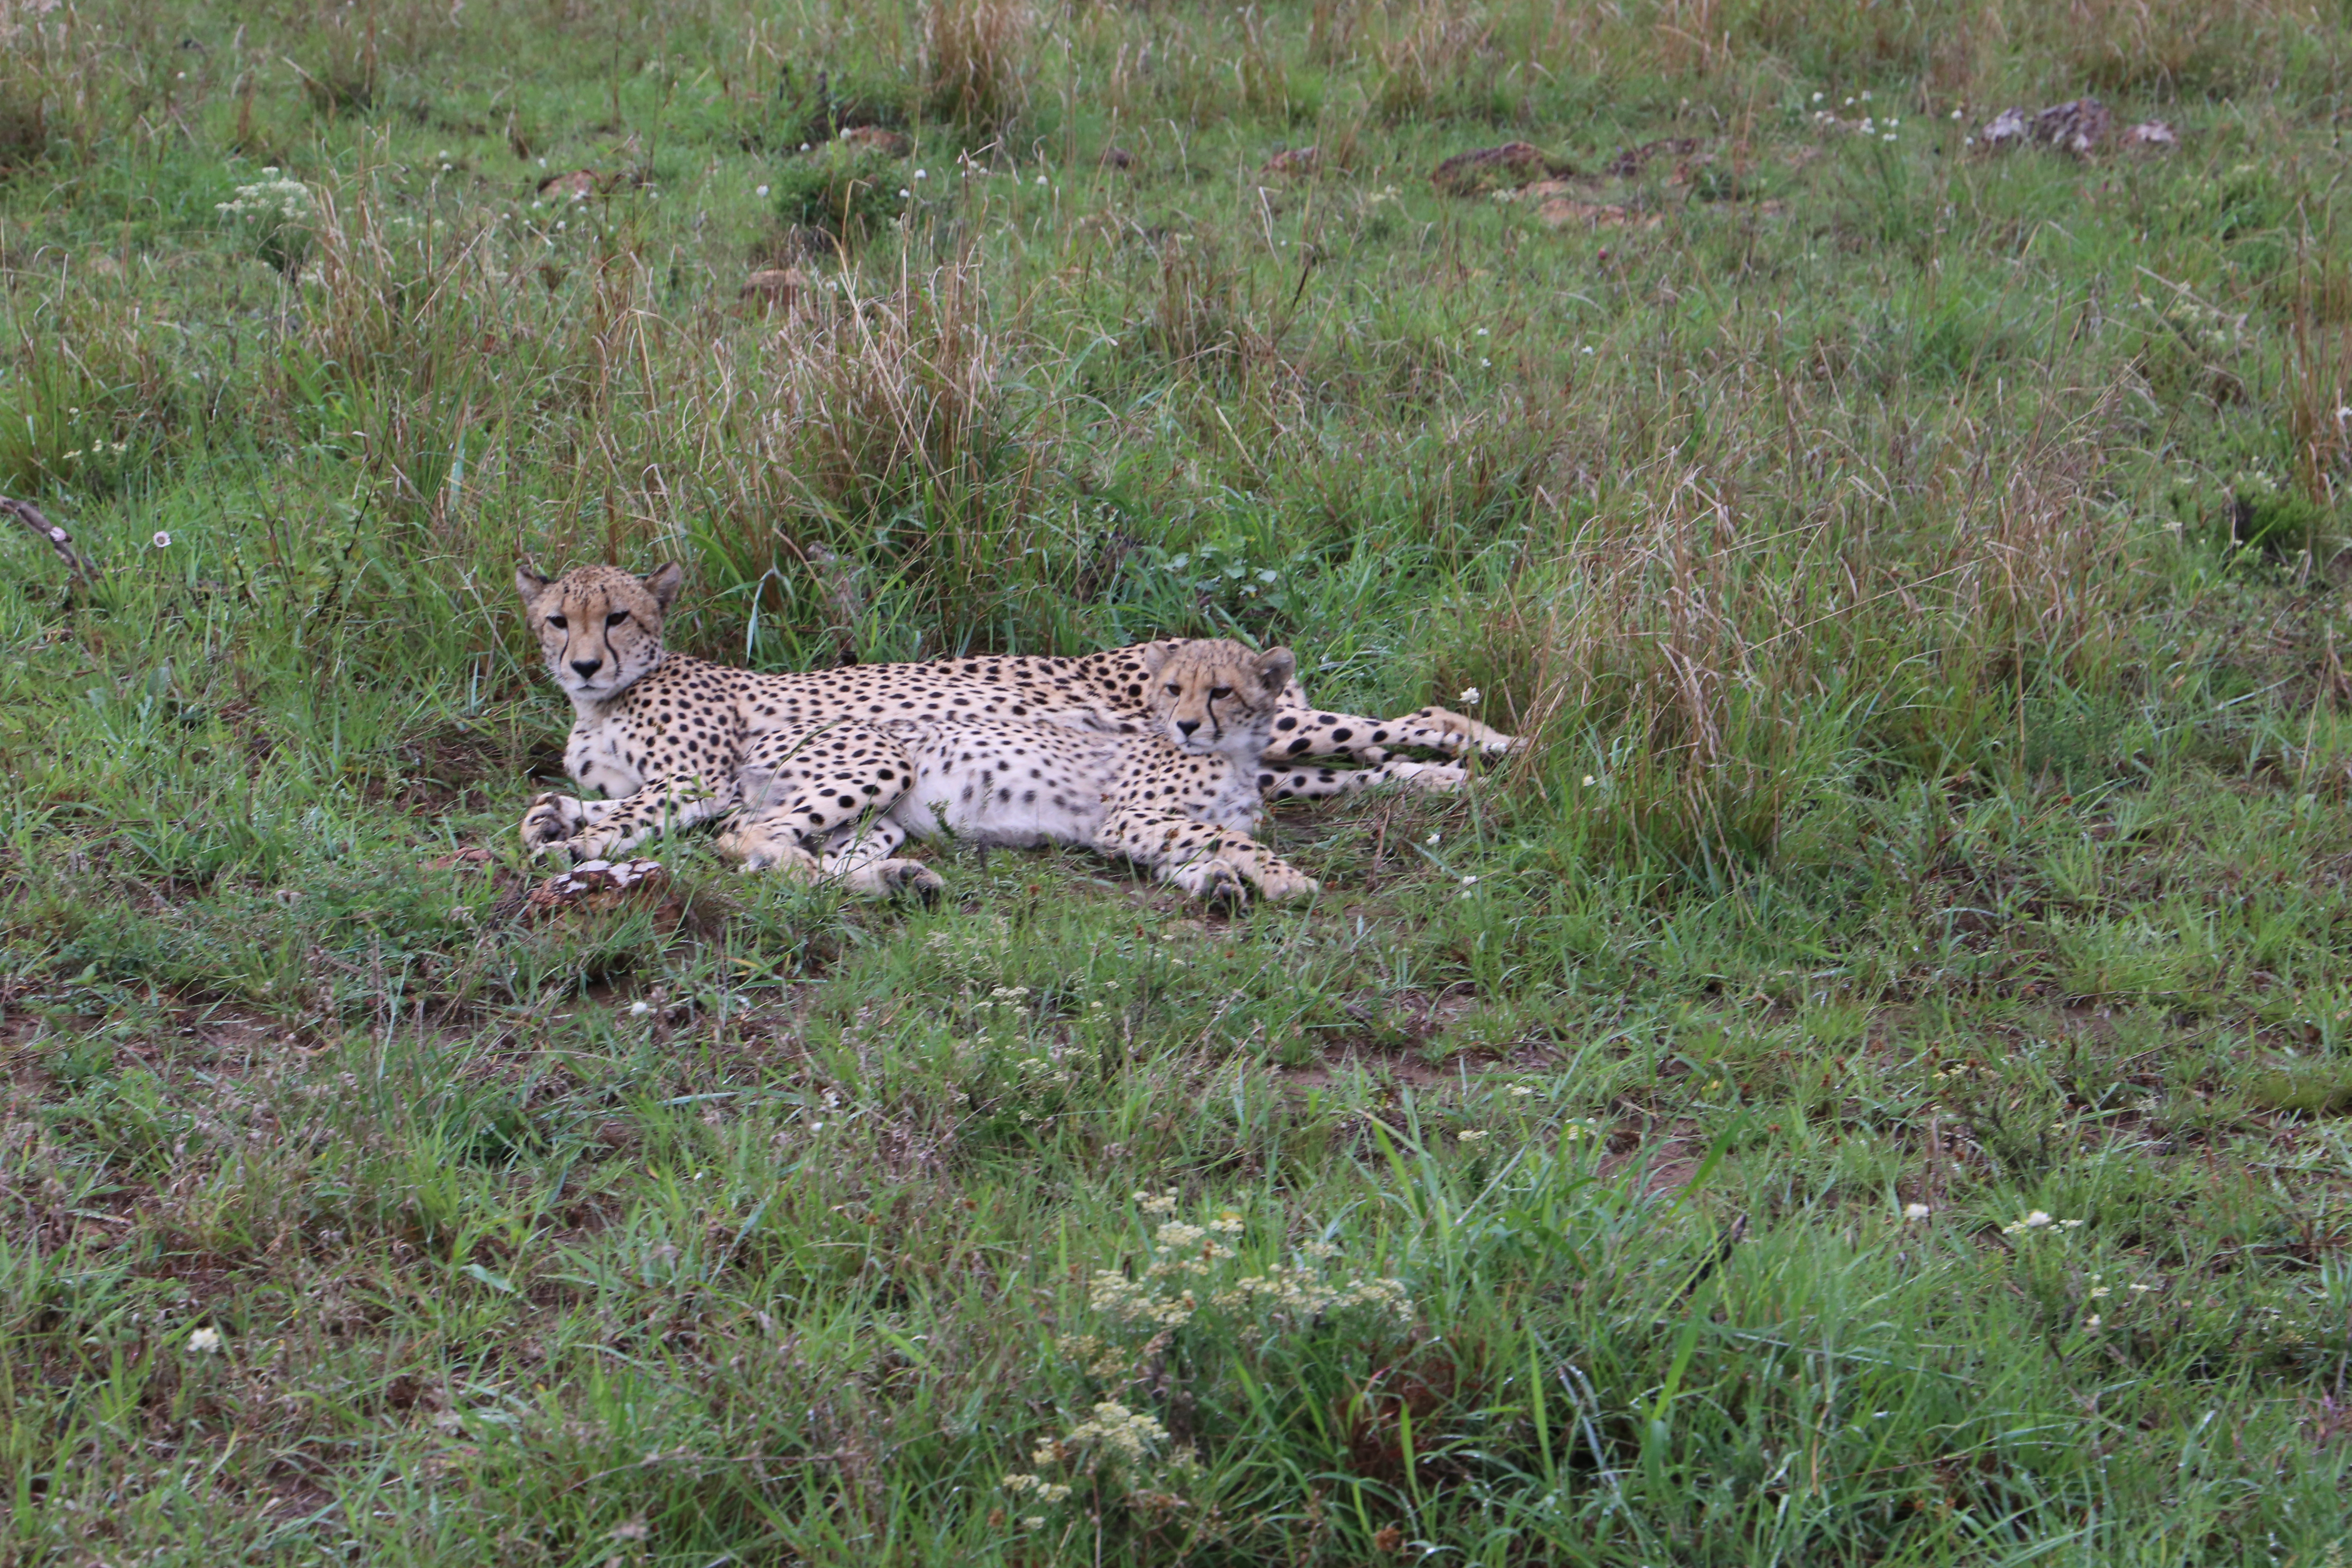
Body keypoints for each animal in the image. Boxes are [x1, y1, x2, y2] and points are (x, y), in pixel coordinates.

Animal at [513, 561, 1515, 880]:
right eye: (559, 619)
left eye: (619, 617)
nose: (584, 663)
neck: (601, 704)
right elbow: (579, 808)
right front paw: (559, 825)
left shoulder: (703, 778)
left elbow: (640, 810)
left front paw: (576, 836)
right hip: (1265, 755)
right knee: (1352, 768)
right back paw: (1445, 777)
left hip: (1278, 731)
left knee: (1392, 720)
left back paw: (1489, 740)